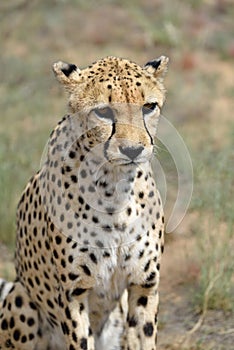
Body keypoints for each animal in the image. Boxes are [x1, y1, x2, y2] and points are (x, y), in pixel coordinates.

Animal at [0, 56, 168, 348]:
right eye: (104, 112)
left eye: (148, 107)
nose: (133, 150)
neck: (115, 186)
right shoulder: (74, 294)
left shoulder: (144, 285)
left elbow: (144, 336)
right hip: (18, 294)